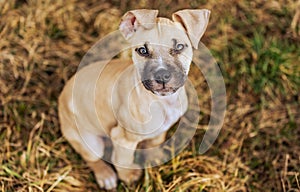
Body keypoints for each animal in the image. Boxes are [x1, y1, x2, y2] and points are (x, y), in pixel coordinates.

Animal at [58, 8, 209, 189]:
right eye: (142, 51)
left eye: (179, 47)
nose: (162, 76)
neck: (161, 101)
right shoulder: (123, 139)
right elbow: (123, 160)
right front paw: (129, 177)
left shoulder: (160, 131)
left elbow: (154, 144)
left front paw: (154, 159)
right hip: (87, 139)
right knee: (93, 158)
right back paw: (106, 176)